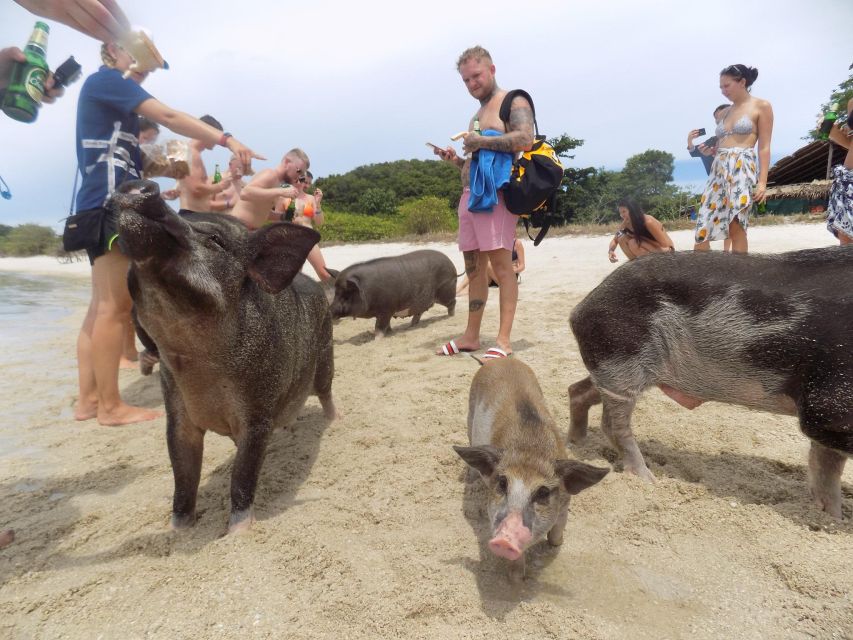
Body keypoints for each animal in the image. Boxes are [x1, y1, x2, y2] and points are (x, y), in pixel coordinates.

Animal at [456, 358, 608, 584]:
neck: (530, 451)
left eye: (543, 492)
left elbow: (557, 532)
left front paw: (557, 544)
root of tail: (499, 360)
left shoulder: (565, 504)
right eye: (502, 483)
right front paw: (517, 579)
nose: (503, 541)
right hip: (469, 414)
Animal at [564, 248, 852, 516]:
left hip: (611, 368)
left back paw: (575, 444)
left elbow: (826, 470)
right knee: (614, 425)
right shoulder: (826, 408)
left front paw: (832, 518)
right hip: (620, 360)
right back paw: (648, 481)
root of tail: (580, 308)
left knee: (577, 391)